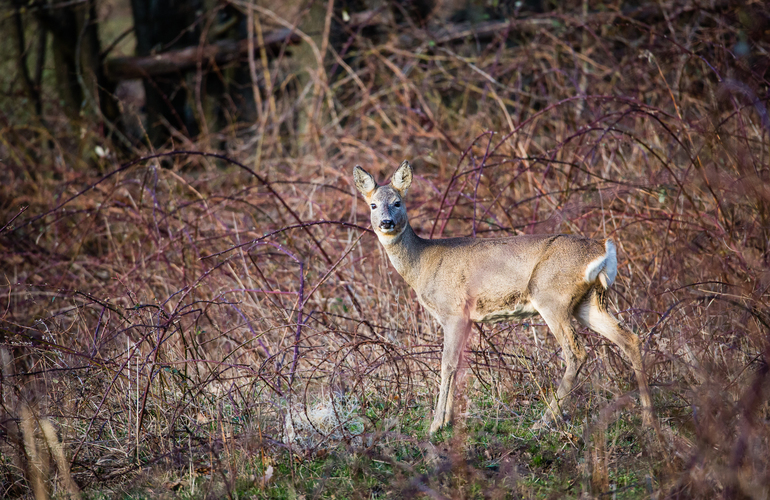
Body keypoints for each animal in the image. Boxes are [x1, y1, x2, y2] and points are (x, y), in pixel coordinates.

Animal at [354, 161, 656, 434]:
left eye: (397, 202)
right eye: (373, 205)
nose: (386, 222)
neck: (422, 263)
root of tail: (603, 249)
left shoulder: (453, 311)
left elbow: (447, 363)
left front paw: (436, 424)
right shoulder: (467, 318)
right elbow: (460, 363)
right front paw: (449, 420)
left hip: (551, 296)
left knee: (577, 352)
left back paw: (543, 422)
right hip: (588, 302)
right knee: (629, 338)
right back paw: (648, 418)